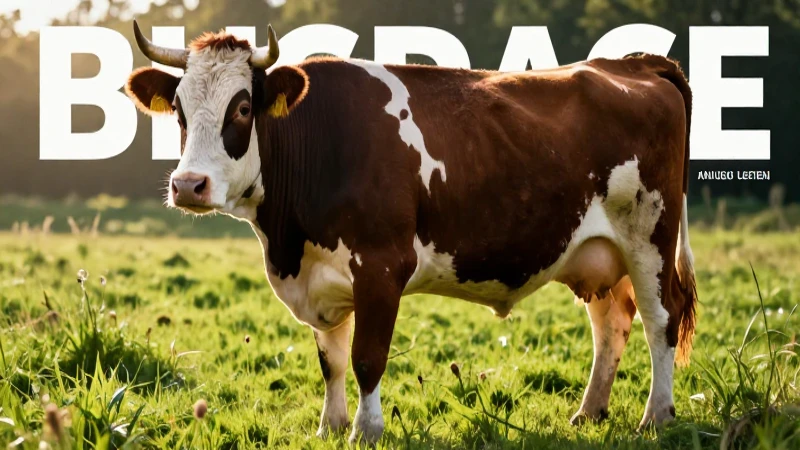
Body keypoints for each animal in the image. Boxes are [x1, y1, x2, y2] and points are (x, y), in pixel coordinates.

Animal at [125, 21, 698, 444]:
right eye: (178, 110)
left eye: (242, 108)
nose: (188, 185)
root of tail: (632, 63)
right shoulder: (320, 274)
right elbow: (331, 359)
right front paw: (329, 426)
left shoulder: (381, 266)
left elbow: (366, 357)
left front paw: (365, 429)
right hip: (597, 250)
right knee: (611, 323)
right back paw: (590, 412)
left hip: (649, 234)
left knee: (660, 319)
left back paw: (656, 416)